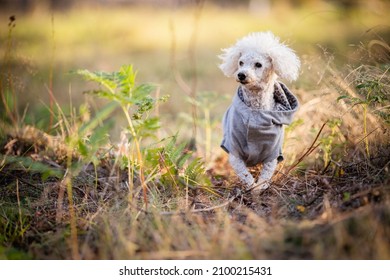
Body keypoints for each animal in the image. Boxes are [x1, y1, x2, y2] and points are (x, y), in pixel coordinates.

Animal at [219, 30, 302, 192]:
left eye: (258, 64)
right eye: (240, 63)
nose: (241, 74)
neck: (256, 111)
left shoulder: (272, 154)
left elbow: (265, 175)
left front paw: (259, 188)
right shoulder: (235, 152)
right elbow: (244, 174)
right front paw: (252, 188)